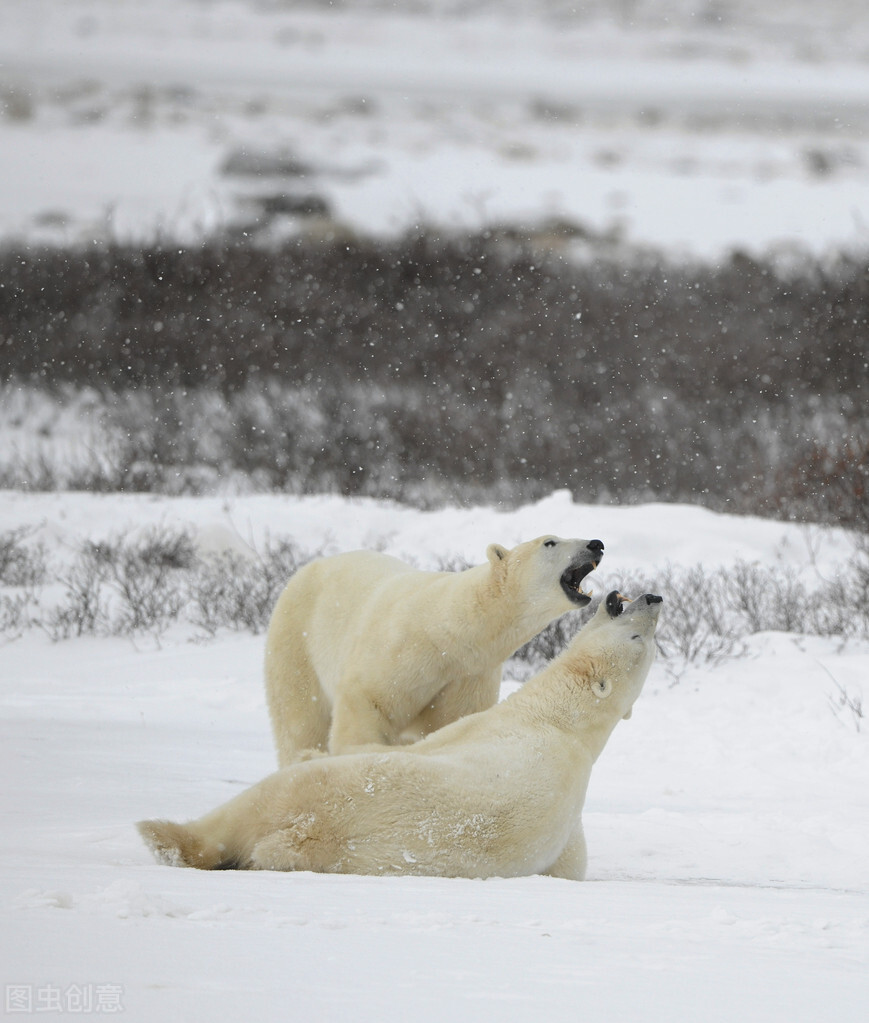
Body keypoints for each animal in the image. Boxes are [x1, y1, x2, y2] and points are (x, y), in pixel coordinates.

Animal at [139, 589, 659, 883]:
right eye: (645, 640)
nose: (654, 600)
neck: (560, 723)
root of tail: (297, 833)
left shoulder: (481, 733)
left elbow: (572, 864)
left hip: (316, 797)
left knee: (248, 808)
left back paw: (164, 836)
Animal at [262, 536, 601, 761]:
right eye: (550, 542)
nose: (596, 544)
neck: (449, 630)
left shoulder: (468, 675)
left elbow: (452, 725)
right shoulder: (398, 649)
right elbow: (369, 702)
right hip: (296, 641)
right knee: (300, 720)